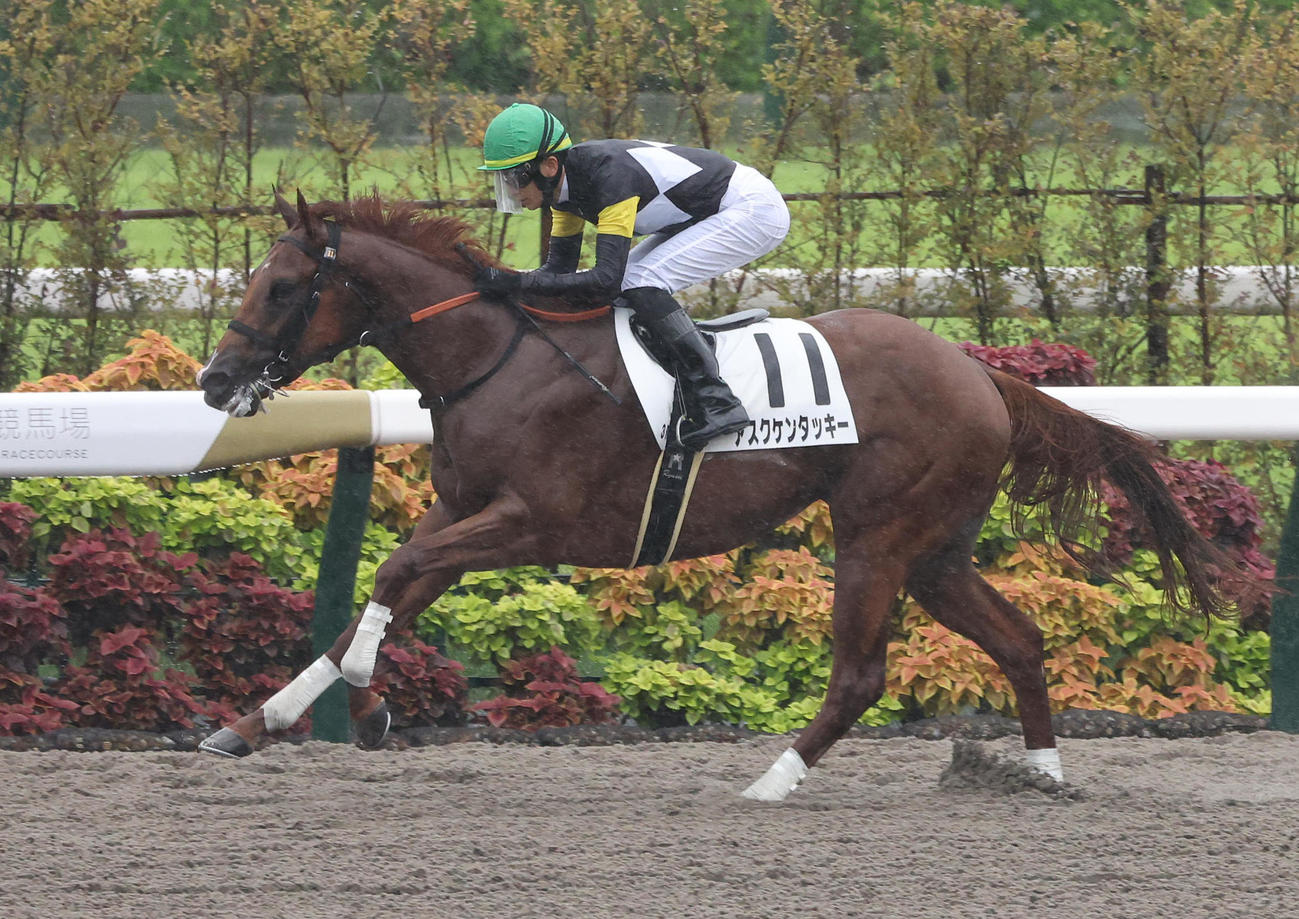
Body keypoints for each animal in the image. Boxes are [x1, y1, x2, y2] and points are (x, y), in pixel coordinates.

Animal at [195, 190, 1252, 800]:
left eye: (282, 287)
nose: (214, 381)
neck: (494, 358)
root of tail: (979, 371)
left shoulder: (527, 524)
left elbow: (392, 575)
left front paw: (370, 706)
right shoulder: (464, 513)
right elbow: (376, 596)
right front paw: (253, 726)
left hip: (875, 536)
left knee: (861, 673)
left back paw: (771, 780)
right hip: (936, 551)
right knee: (1021, 640)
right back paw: (1044, 772)